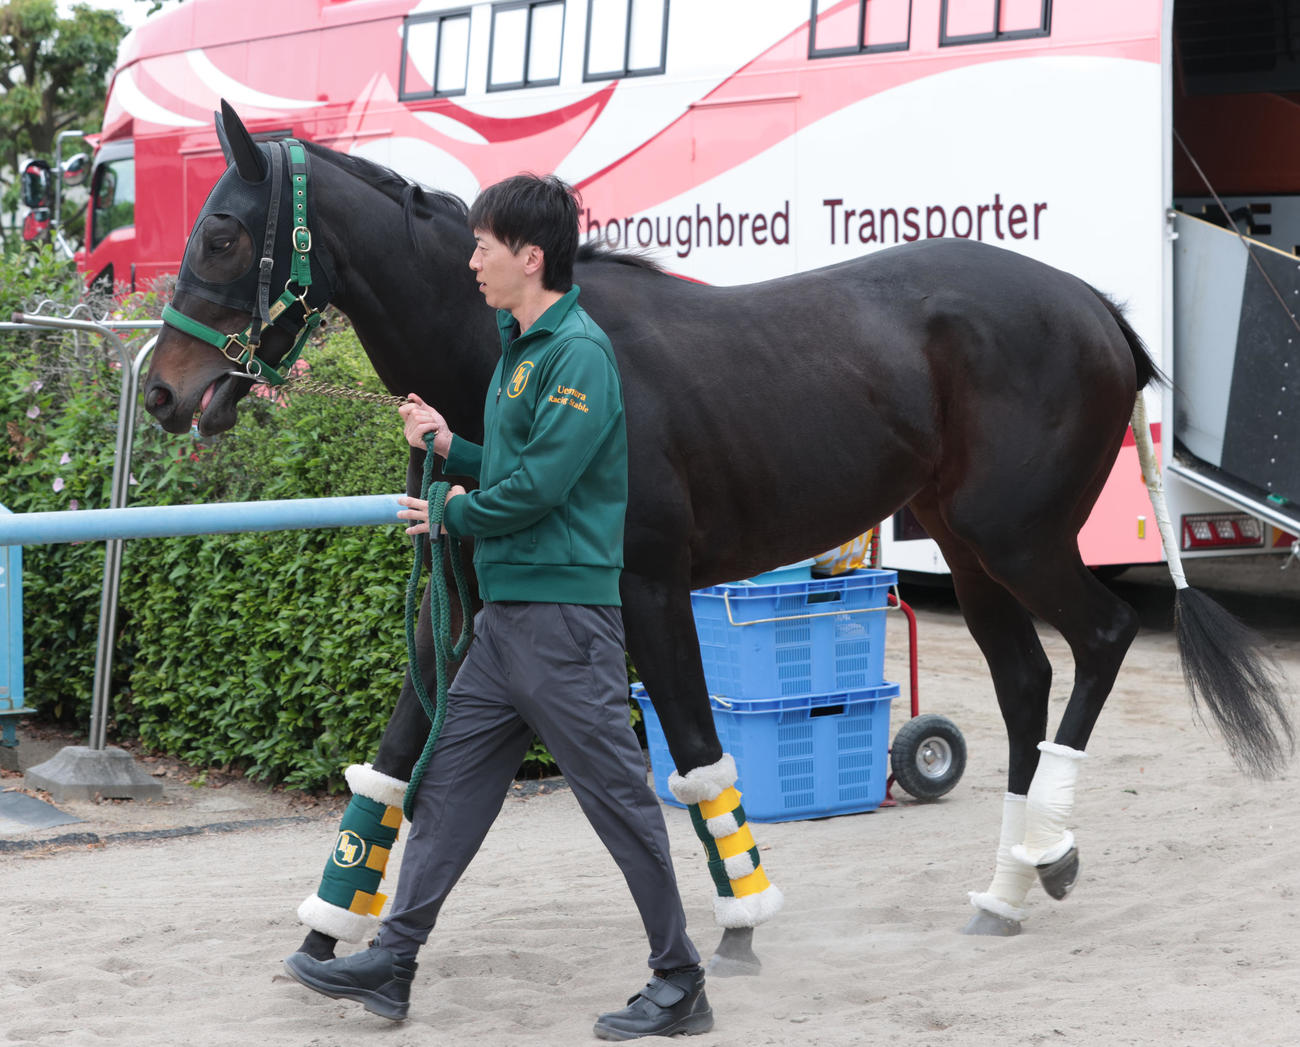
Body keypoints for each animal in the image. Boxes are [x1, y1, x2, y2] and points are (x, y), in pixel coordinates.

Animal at [143, 103, 1293, 971]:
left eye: (224, 231)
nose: (161, 389)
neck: (519, 355)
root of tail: (1098, 308)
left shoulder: (651, 588)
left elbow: (697, 753)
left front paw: (741, 920)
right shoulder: (471, 592)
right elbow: (396, 756)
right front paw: (325, 933)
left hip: (1019, 539)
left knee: (1098, 639)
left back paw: (1046, 846)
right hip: (968, 549)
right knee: (1022, 681)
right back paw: (1010, 883)